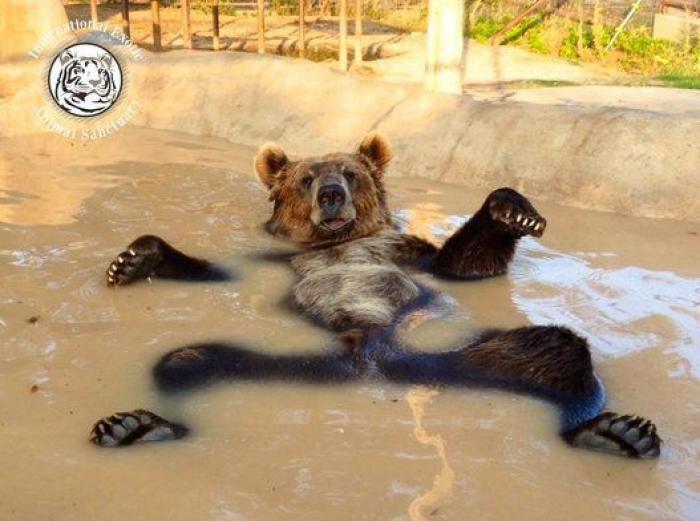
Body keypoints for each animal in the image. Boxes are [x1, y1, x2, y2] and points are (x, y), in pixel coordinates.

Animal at [91, 132, 660, 459]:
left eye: (349, 172)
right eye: (306, 177)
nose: (331, 193)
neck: (337, 242)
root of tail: (367, 355)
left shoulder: (404, 250)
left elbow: (463, 266)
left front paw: (512, 209)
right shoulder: (272, 259)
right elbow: (224, 273)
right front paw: (134, 259)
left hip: (476, 356)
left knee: (560, 355)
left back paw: (613, 433)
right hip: (261, 362)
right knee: (184, 362)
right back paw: (136, 425)